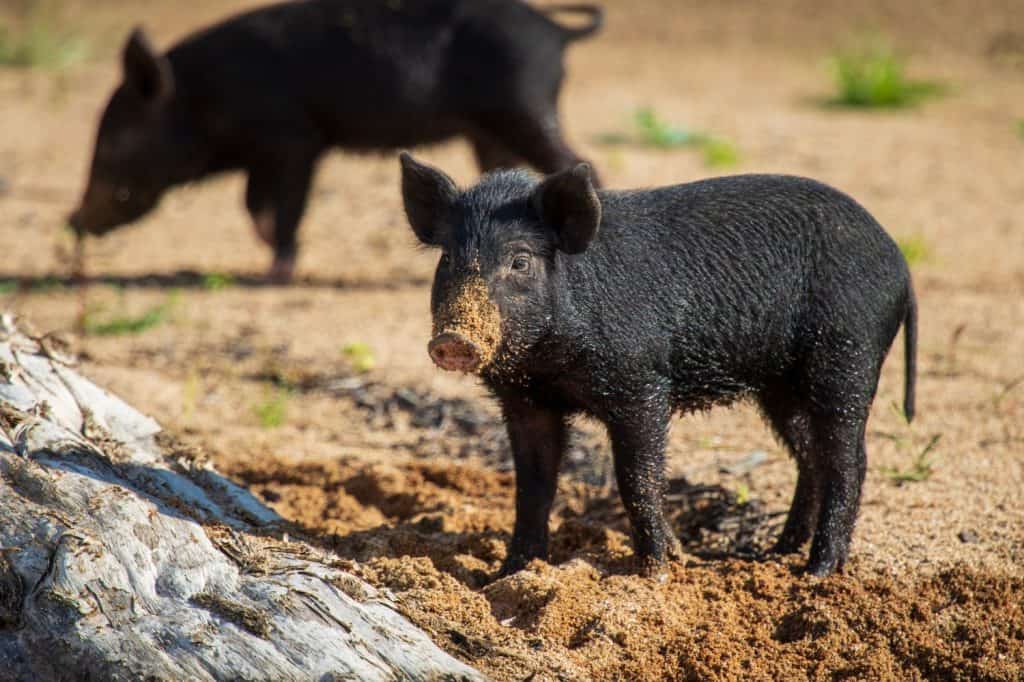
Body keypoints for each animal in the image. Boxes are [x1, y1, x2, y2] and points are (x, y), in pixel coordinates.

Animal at [69, 0, 604, 283]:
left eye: (115, 143)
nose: (72, 220)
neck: (204, 99)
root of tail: (556, 31)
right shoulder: (271, 151)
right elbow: (252, 203)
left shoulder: (295, 140)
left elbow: (281, 204)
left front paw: (276, 275)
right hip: (492, 129)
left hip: (524, 108)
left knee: (581, 161)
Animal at [399, 152, 918, 577]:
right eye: (448, 259)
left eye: (520, 261)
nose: (453, 340)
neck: (550, 362)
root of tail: (898, 260)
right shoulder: (526, 401)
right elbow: (532, 487)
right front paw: (507, 573)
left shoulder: (641, 384)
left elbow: (636, 478)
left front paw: (658, 571)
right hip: (780, 384)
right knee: (810, 455)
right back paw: (774, 553)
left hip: (848, 353)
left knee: (849, 459)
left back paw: (816, 572)